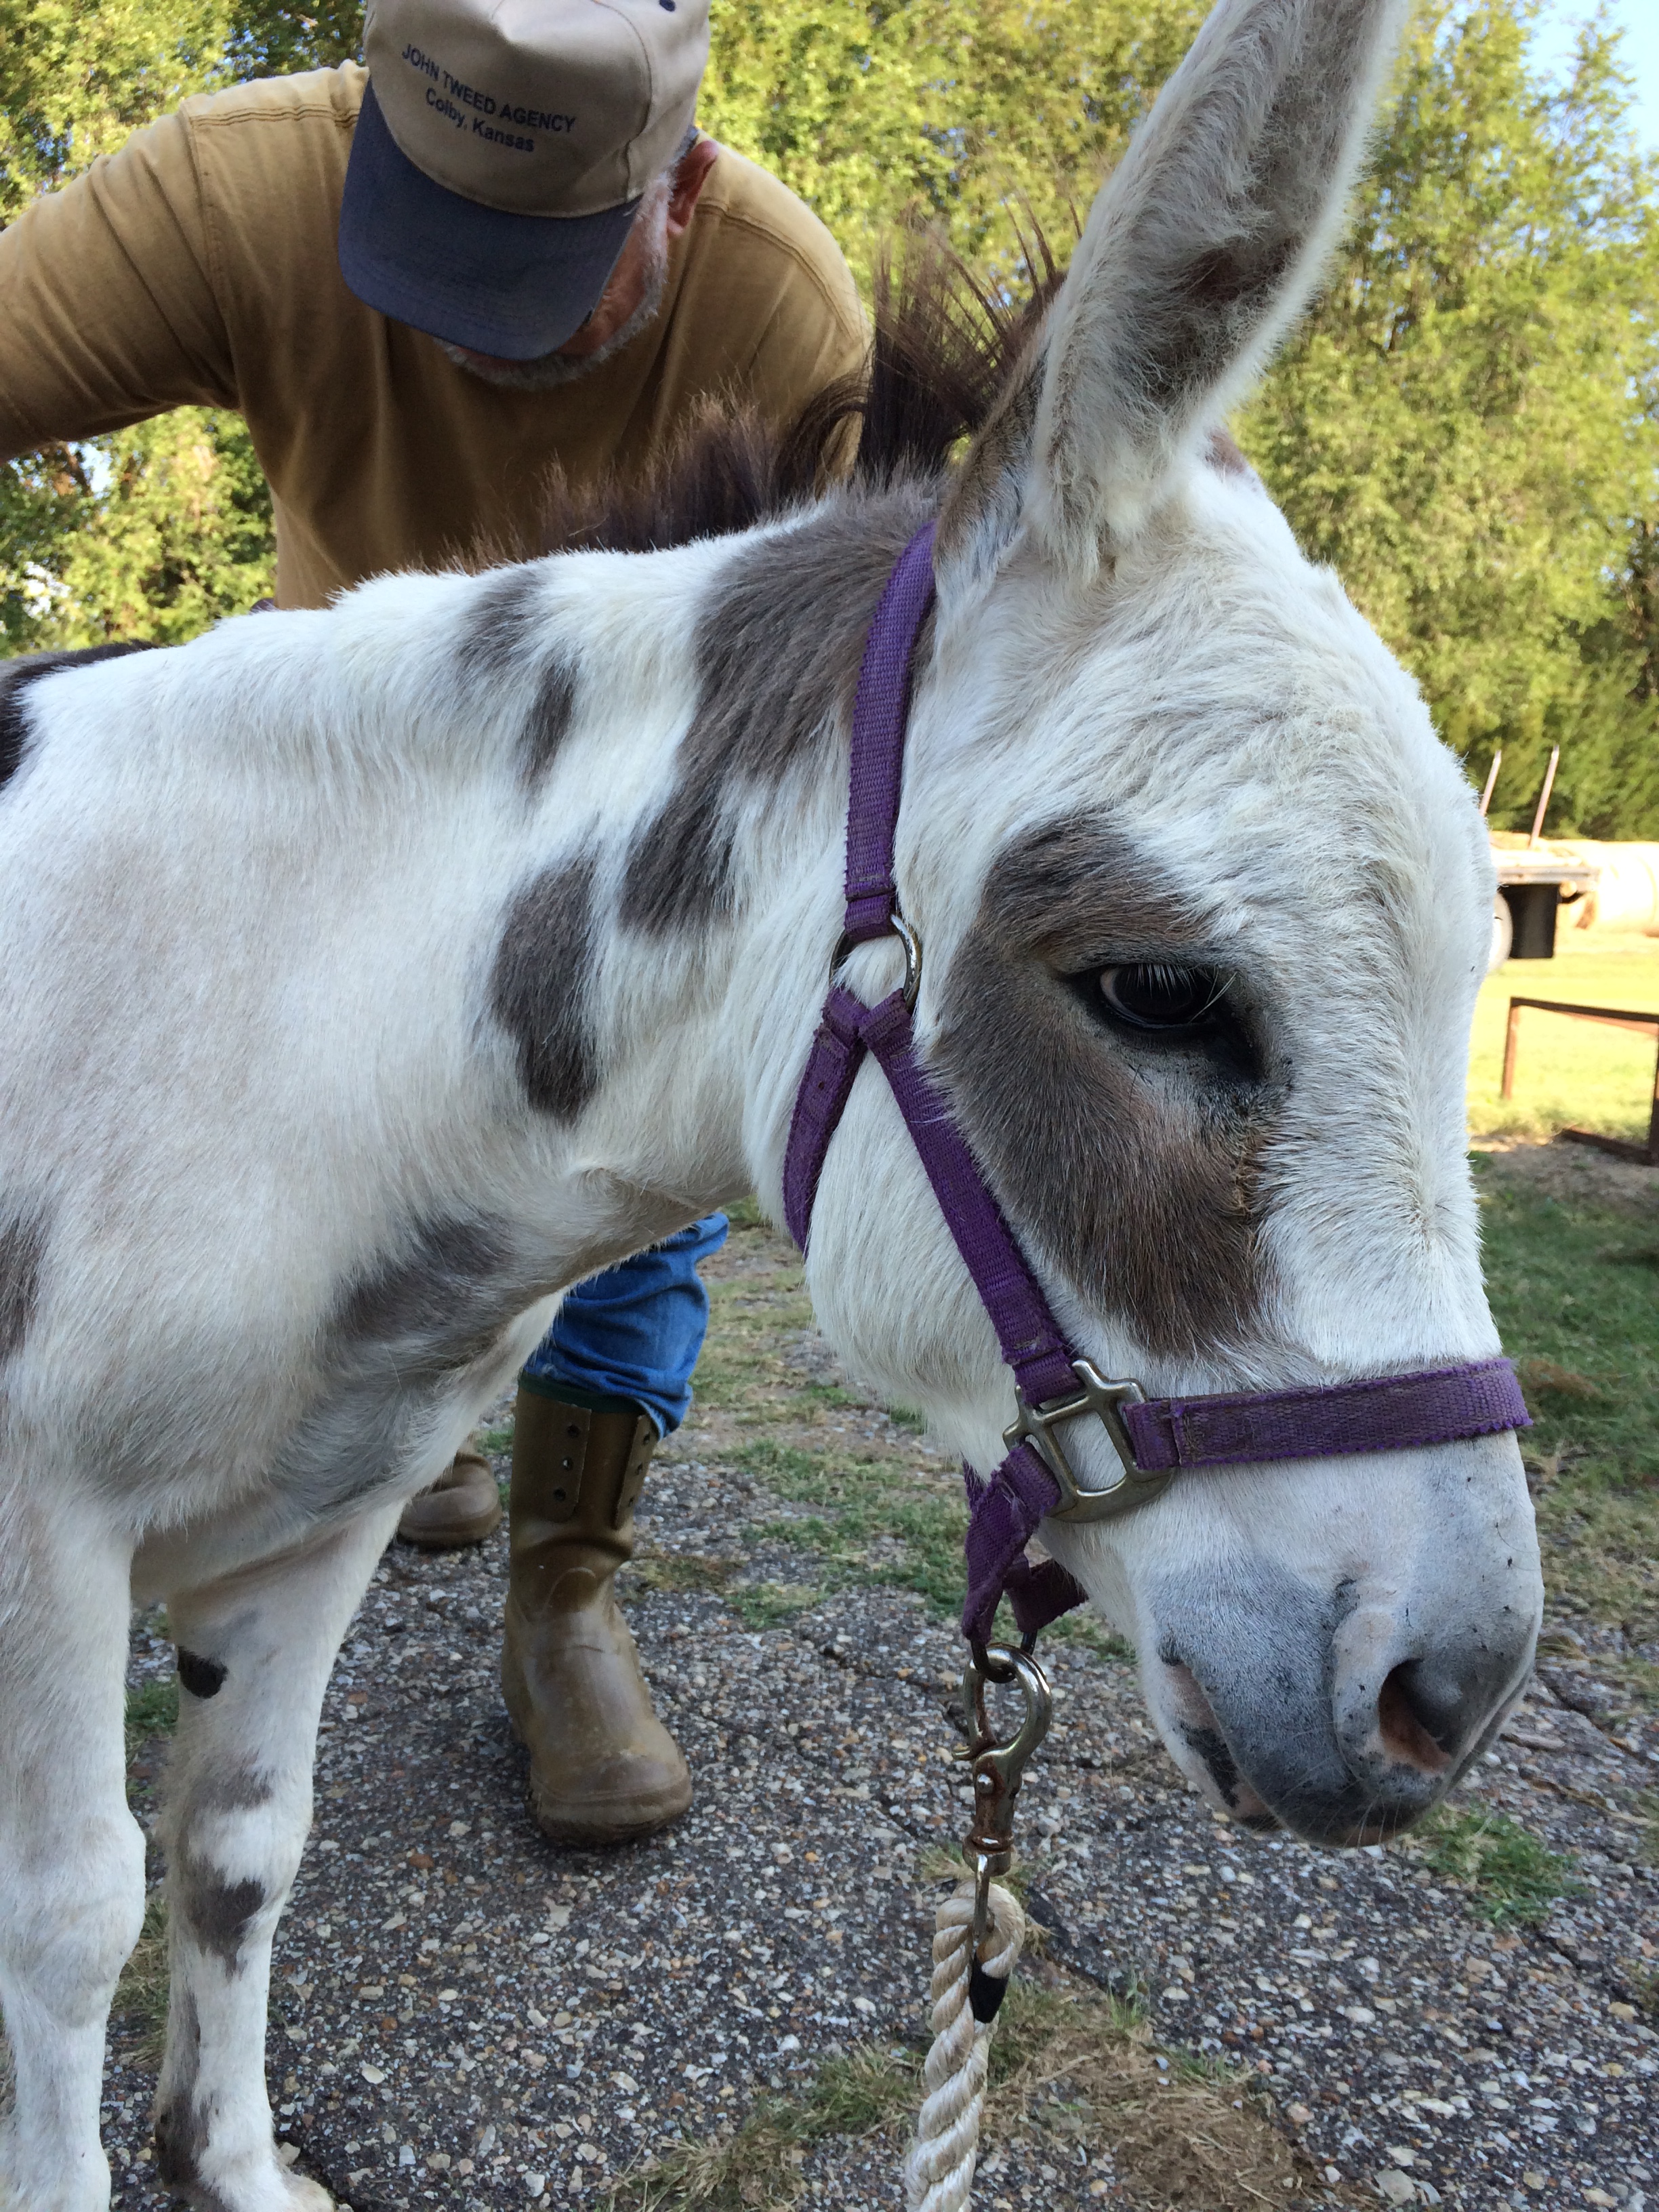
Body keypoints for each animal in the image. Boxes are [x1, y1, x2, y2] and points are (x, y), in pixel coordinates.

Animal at [0, 0, 1541, 2203]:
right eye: (1159, 990)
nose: (1448, 1696)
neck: (292, 1025)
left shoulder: (323, 1515)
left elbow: (235, 1850)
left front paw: (235, 2165)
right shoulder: (43, 1537)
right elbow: (71, 1919)